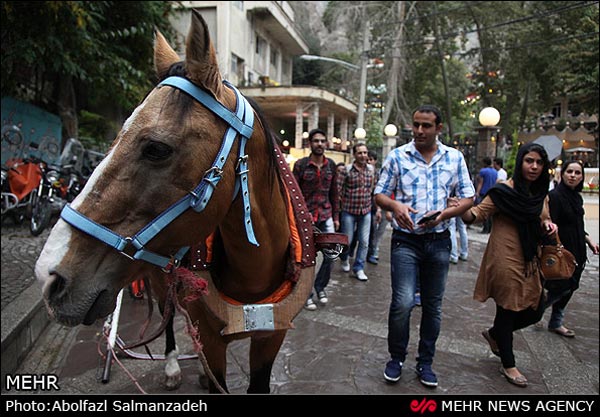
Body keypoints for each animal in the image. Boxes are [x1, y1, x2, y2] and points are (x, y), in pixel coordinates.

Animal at [34, 10, 322, 394]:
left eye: (156, 148)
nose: (50, 275)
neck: (253, 269)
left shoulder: (272, 336)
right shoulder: (212, 339)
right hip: (157, 277)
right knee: (168, 314)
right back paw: (172, 364)